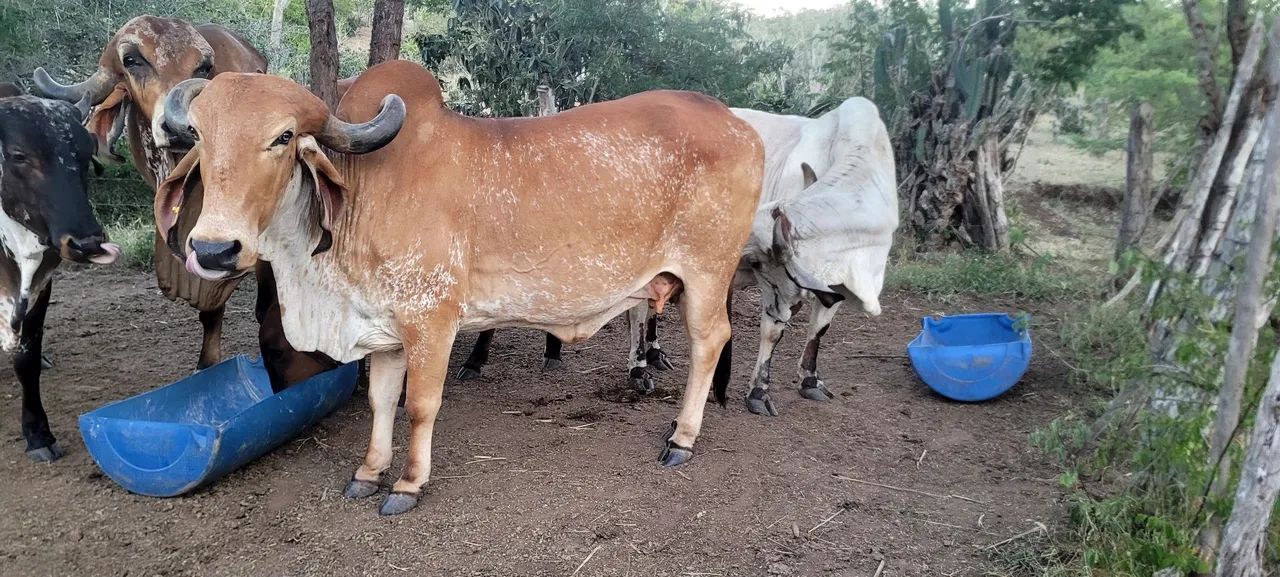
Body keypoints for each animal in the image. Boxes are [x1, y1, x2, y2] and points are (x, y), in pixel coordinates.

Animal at [1, 90, 122, 461]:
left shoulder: (41, 288)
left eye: (84, 154)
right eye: (19, 155)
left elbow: (26, 359)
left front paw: (38, 434)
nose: (86, 243)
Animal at [154, 60, 761, 515]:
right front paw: (369, 472)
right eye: (201, 135)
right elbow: (380, 401)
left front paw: (407, 483)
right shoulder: (385, 327)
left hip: (707, 275)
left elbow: (421, 406)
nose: (213, 249)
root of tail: (738, 124)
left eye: (282, 138)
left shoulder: (432, 321)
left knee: (710, 342)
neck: (365, 190)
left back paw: (682, 438)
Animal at [456, 98, 898, 416]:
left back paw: (648, 353)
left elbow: (818, 329)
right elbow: (772, 332)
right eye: (759, 262)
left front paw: (808, 379)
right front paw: (758, 391)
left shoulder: (833, 285)